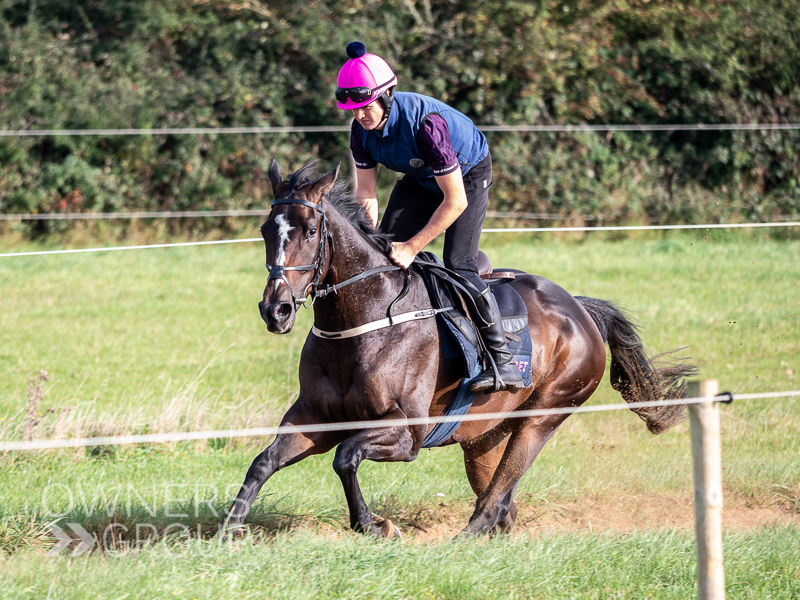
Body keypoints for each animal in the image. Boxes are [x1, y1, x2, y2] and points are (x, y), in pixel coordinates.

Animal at [222, 159, 696, 540]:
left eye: (310, 231)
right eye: (266, 231)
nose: (276, 309)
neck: (360, 321)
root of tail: (580, 310)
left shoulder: (406, 432)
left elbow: (346, 457)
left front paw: (374, 524)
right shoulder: (315, 418)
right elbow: (263, 462)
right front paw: (230, 531)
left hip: (544, 415)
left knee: (495, 499)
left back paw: (460, 542)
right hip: (485, 434)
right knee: (502, 504)